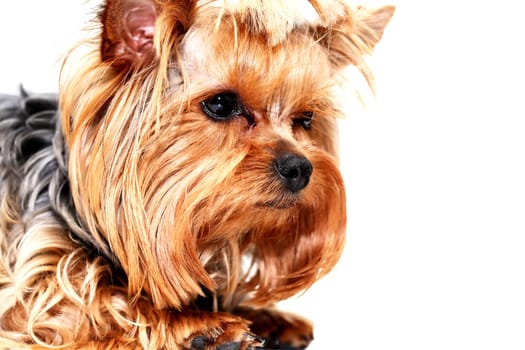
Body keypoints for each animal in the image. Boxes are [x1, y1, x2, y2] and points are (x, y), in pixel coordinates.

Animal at [0, 1, 392, 348]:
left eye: (306, 119)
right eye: (221, 104)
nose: (300, 168)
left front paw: (265, 317)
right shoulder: (31, 287)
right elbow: (90, 301)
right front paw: (201, 325)